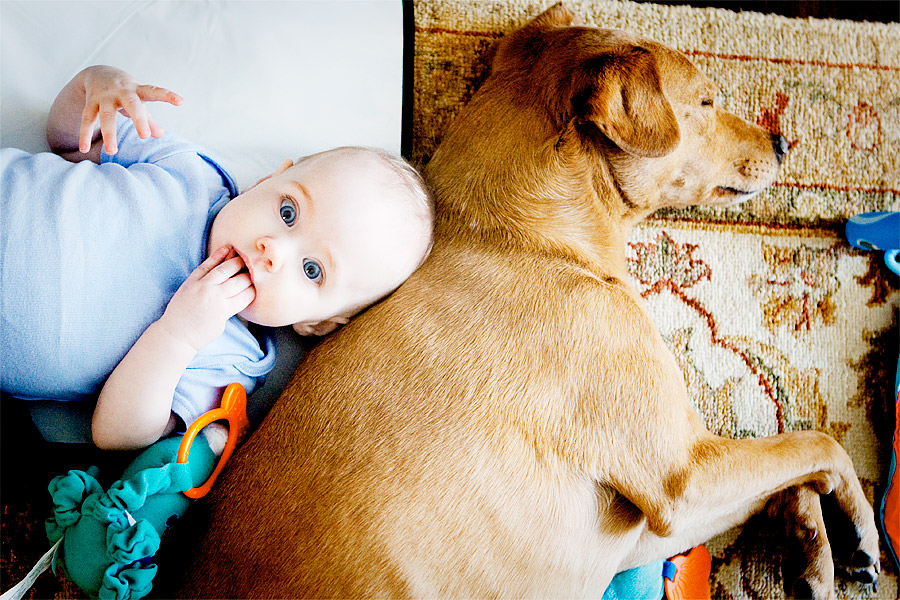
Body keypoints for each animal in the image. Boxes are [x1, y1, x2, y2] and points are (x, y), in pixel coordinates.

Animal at [174, 5, 880, 598]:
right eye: (705, 101)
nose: (783, 142)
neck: (529, 240)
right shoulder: (681, 476)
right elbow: (818, 444)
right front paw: (859, 531)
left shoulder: (641, 526)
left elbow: (790, 471)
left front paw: (811, 548)